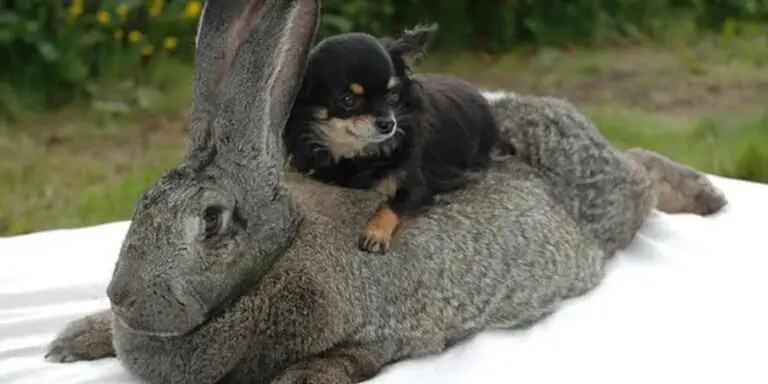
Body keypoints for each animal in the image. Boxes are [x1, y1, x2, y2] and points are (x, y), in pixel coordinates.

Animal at [284, 22, 512, 254]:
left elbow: (391, 205)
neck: (359, 153)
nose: (388, 124)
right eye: (347, 100)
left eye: (393, 95)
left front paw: (375, 233)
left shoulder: (416, 187)